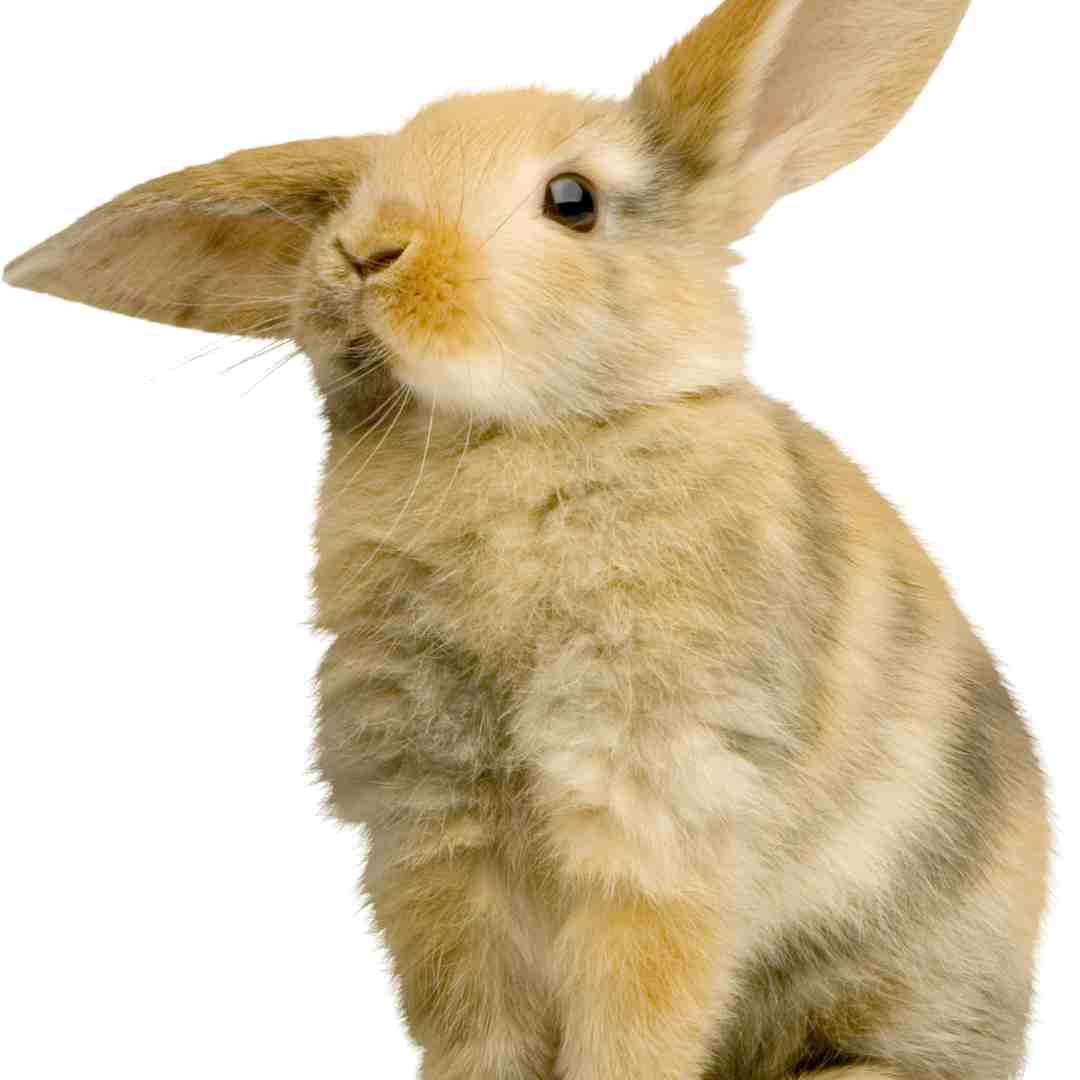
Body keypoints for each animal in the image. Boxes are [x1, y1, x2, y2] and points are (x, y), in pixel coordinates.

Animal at [3, 1, 1051, 1079]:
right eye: (354, 197)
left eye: (571, 200)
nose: (365, 252)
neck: (506, 443)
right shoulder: (435, 828)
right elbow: (472, 1012)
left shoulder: (650, 804)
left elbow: (635, 1009)